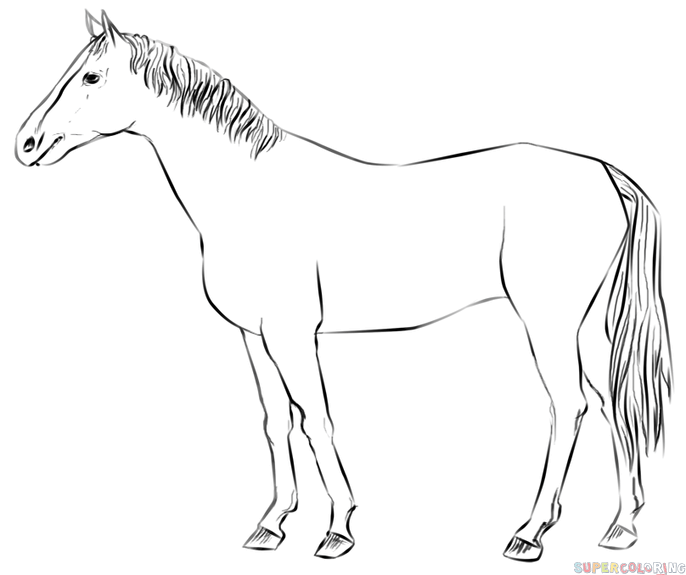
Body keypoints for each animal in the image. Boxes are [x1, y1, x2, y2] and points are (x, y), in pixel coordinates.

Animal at [15, 10, 672, 562]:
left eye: (91, 75)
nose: (25, 144)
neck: (248, 195)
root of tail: (605, 175)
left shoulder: (292, 333)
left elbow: (316, 419)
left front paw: (337, 530)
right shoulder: (255, 337)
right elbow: (276, 422)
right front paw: (270, 524)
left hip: (547, 323)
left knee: (570, 405)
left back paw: (530, 532)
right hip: (583, 327)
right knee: (613, 403)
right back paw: (621, 526)